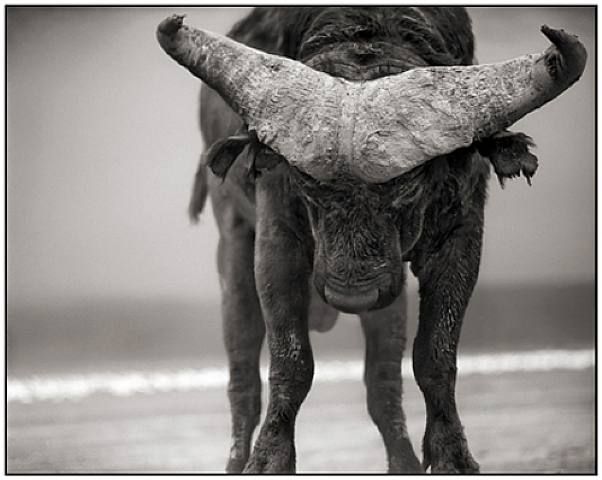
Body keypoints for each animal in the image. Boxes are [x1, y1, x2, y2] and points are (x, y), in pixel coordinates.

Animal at [157, 6, 584, 472]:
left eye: (408, 185)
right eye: (309, 187)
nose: (353, 296)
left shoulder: (460, 236)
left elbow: (435, 356)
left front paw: (453, 456)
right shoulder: (277, 242)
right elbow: (290, 361)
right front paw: (268, 459)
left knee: (383, 382)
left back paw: (404, 461)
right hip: (234, 246)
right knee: (243, 373)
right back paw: (238, 458)